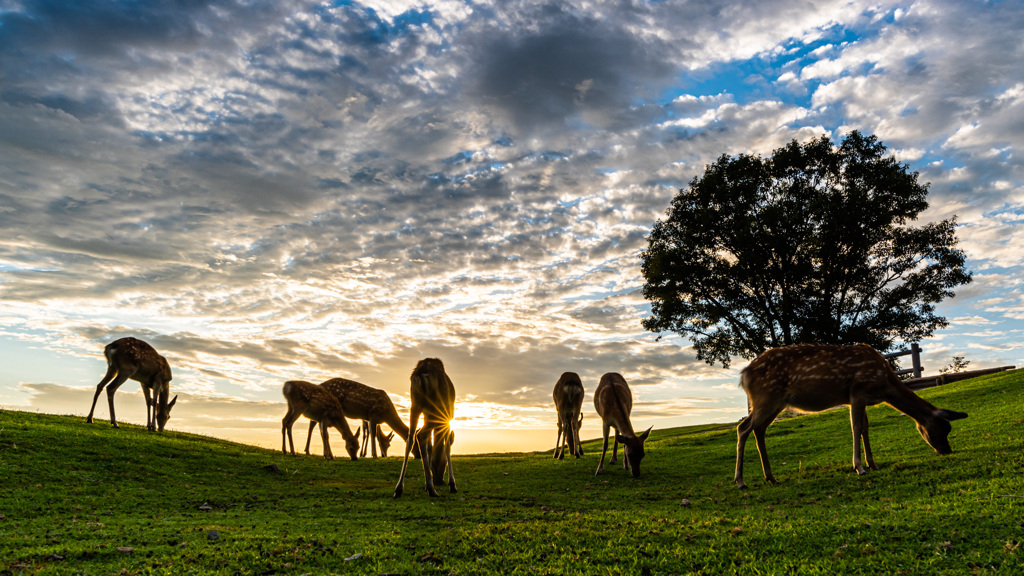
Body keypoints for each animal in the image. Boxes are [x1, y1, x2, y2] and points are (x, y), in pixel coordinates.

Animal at [391, 356, 456, 496]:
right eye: (443, 464)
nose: (439, 480)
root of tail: (422, 373)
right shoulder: (447, 416)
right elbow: (447, 446)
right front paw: (452, 484)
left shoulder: (426, 414)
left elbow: (429, 446)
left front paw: (427, 483)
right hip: (436, 408)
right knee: (420, 434)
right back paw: (432, 489)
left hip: (415, 404)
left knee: (411, 437)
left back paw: (399, 488)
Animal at [737, 342, 966, 485]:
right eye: (943, 428)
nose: (946, 450)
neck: (885, 384)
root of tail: (744, 375)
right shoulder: (857, 392)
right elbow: (856, 427)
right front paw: (859, 467)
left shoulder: (860, 399)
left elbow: (865, 428)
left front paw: (873, 464)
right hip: (766, 397)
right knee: (743, 428)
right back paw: (740, 481)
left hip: (774, 403)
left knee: (758, 429)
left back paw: (770, 477)